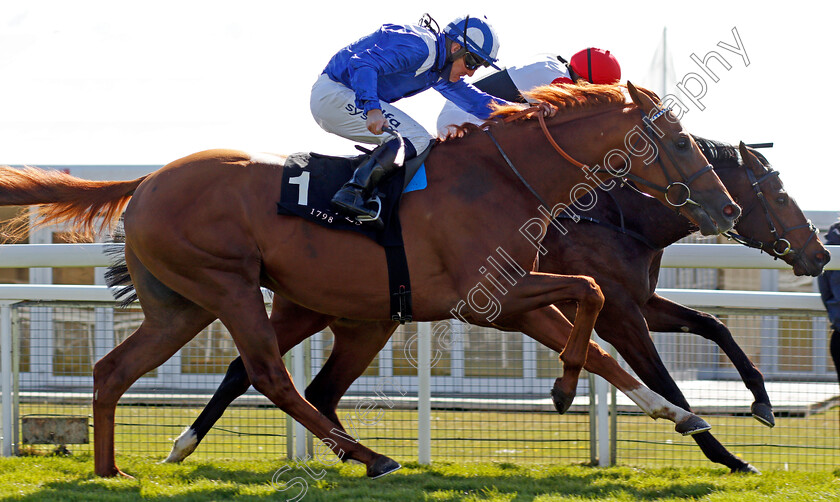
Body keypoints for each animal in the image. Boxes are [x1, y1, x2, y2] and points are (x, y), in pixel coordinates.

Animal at [0, 83, 740, 478]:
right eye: (679, 143)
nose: (727, 208)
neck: (498, 178)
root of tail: (148, 179)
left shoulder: (514, 298)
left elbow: (599, 338)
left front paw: (676, 413)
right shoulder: (490, 300)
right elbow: (591, 293)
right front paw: (562, 392)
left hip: (186, 308)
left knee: (114, 371)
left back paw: (110, 470)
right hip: (228, 287)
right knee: (269, 374)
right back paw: (370, 455)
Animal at [162, 139, 828, 472]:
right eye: (776, 192)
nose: (819, 253)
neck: (616, 215)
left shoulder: (638, 299)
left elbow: (714, 323)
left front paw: (762, 403)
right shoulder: (619, 310)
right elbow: (664, 378)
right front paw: (726, 453)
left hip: (346, 313)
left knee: (267, 375)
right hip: (325, 309)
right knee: (258, 370)